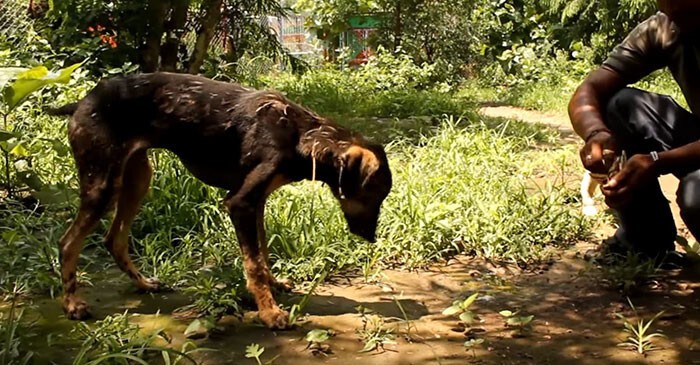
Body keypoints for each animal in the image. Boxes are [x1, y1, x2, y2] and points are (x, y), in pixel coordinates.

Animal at [46, 72, 392, 328]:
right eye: (373, 194)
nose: (371, 238)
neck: (298, 134)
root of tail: (82, 101)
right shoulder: (240, 203)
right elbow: (253, 264)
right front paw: (269, 312)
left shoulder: (256, 203)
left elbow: (263, 254)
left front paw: (274, 285)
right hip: (102, 185)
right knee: (68, 243)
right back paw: (72, 305)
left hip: (137, 179)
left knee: (114, 239)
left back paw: (144, 285)